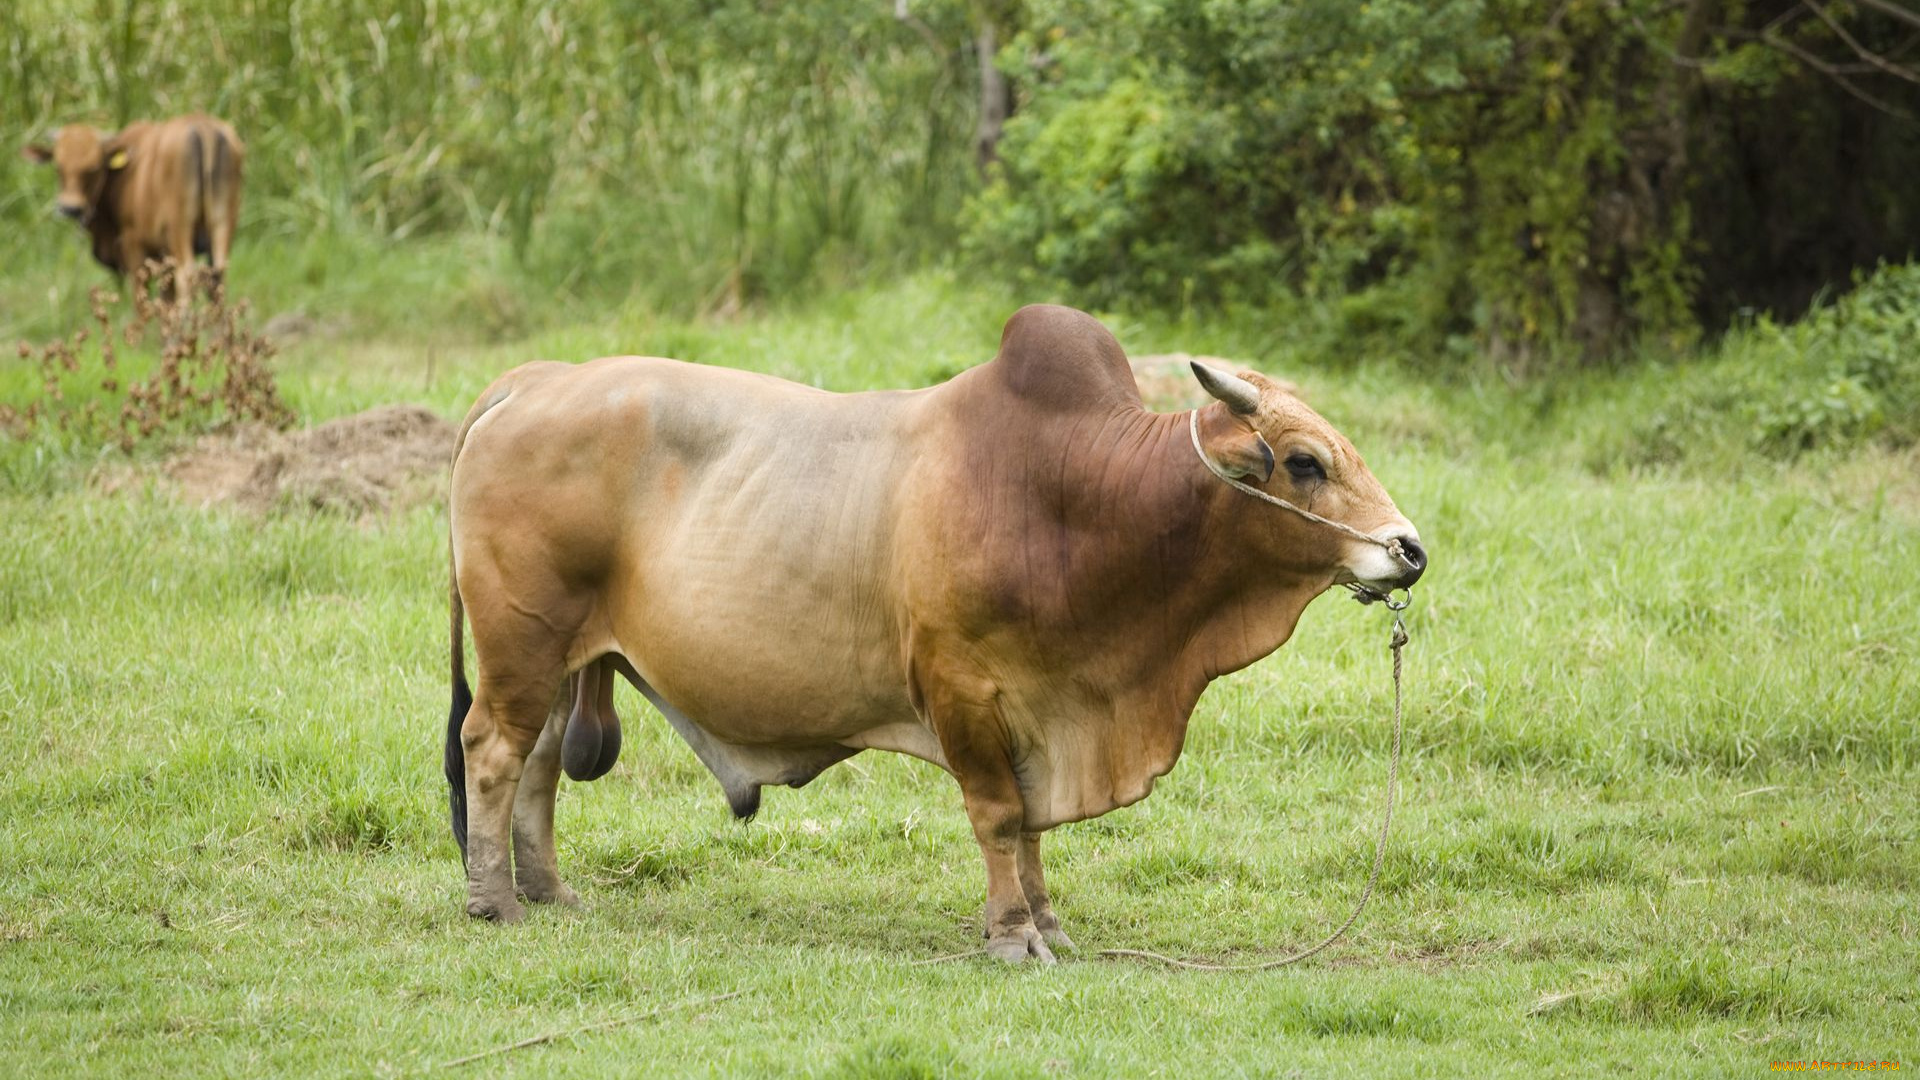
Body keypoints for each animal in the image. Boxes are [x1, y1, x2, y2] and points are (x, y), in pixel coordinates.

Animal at [22, 113, 243, 303]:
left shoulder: (133, 248)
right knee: (218, 278)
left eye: (93, 168)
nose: (70, 208)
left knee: (187, 276)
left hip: (179, 232)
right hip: (222, 227)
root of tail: (202, 126)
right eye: (58, 167)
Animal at [439, 305, 1428, 957]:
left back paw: (549, 890)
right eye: (1305, 462)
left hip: (560, 654)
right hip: (522, 638)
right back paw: (494, 902)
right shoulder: (963, 692)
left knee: (536, 762)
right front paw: (1013, 936)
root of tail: (534, 381)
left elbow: (1033, 828)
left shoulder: (1038, 708)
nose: (1408, 550)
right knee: (491, 748)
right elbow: (998, 818)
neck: (1077, 497)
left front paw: (1048, 919)